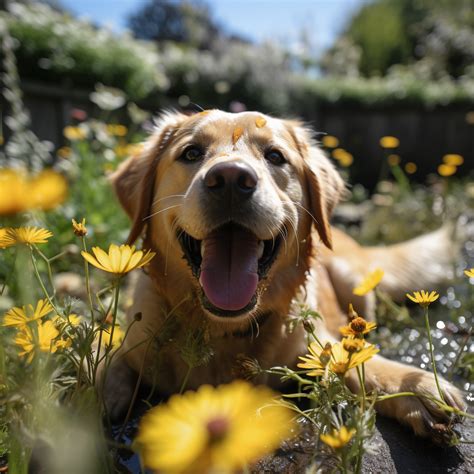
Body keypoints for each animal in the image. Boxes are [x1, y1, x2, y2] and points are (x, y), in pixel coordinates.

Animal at [103, 109, 462, 442]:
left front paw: (417, 386)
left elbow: (357, 360)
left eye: (275, 156)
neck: (224, 331)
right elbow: (108, 359)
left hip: (353, 283)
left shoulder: (315, 344)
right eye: (191, 153)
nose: (231, 178)